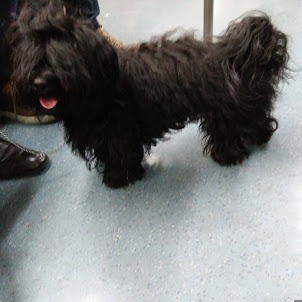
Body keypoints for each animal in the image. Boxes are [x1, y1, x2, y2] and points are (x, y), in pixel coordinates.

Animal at [7, 2, 288, 188]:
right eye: (32, 56)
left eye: (61, 57)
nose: (39, 82)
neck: (100, 82)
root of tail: (235, 55)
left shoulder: (118, 132)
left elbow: (120, 154)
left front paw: (119, 178)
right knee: (258, 117)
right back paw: (260, 137)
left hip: (224, 110)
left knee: (232, 129)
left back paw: (228, 156)